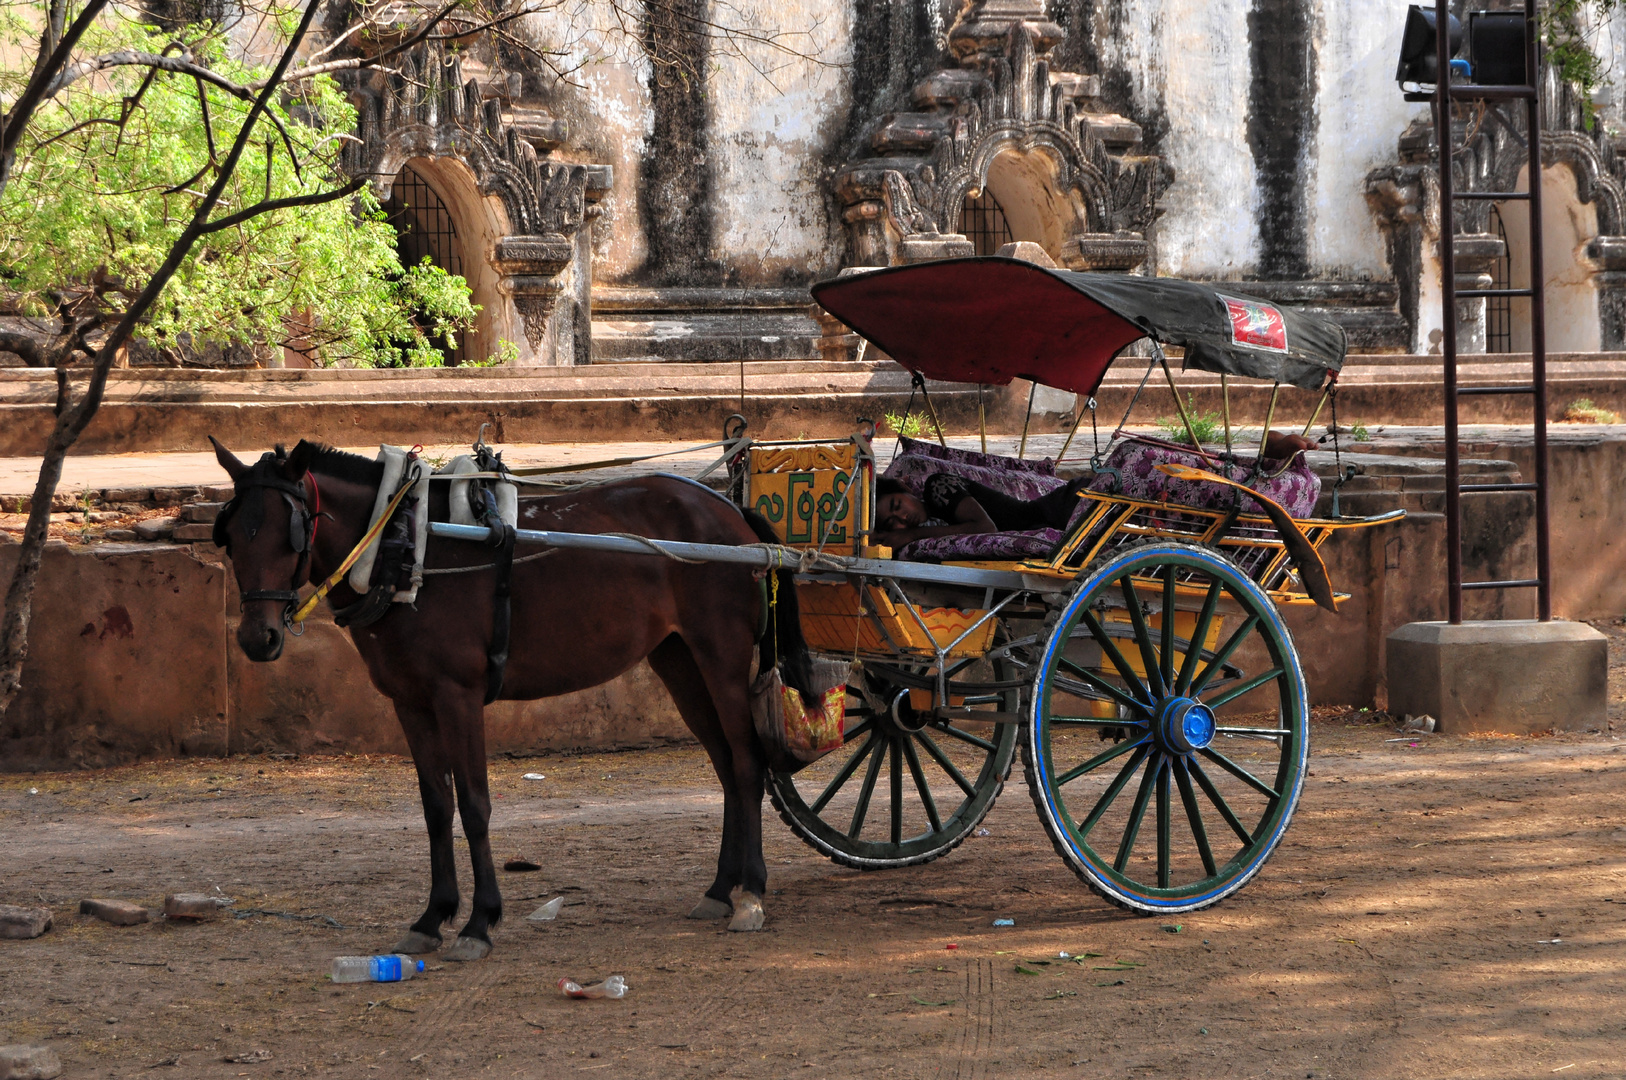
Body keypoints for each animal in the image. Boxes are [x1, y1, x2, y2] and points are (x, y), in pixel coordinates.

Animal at [208, 435, 806, 956]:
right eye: (232, 535)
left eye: (290, 532)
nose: (257, 637)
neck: (406, 543)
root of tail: (728, 512)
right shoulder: (410, 702)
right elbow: (436, 806)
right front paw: (432, 917)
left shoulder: (457, 696)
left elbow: (474, 805)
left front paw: (479, 921)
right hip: (679, 659)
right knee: (726, 765)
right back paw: (720, 889)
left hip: (721, 654)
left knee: (748, 762)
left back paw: (752, 892)